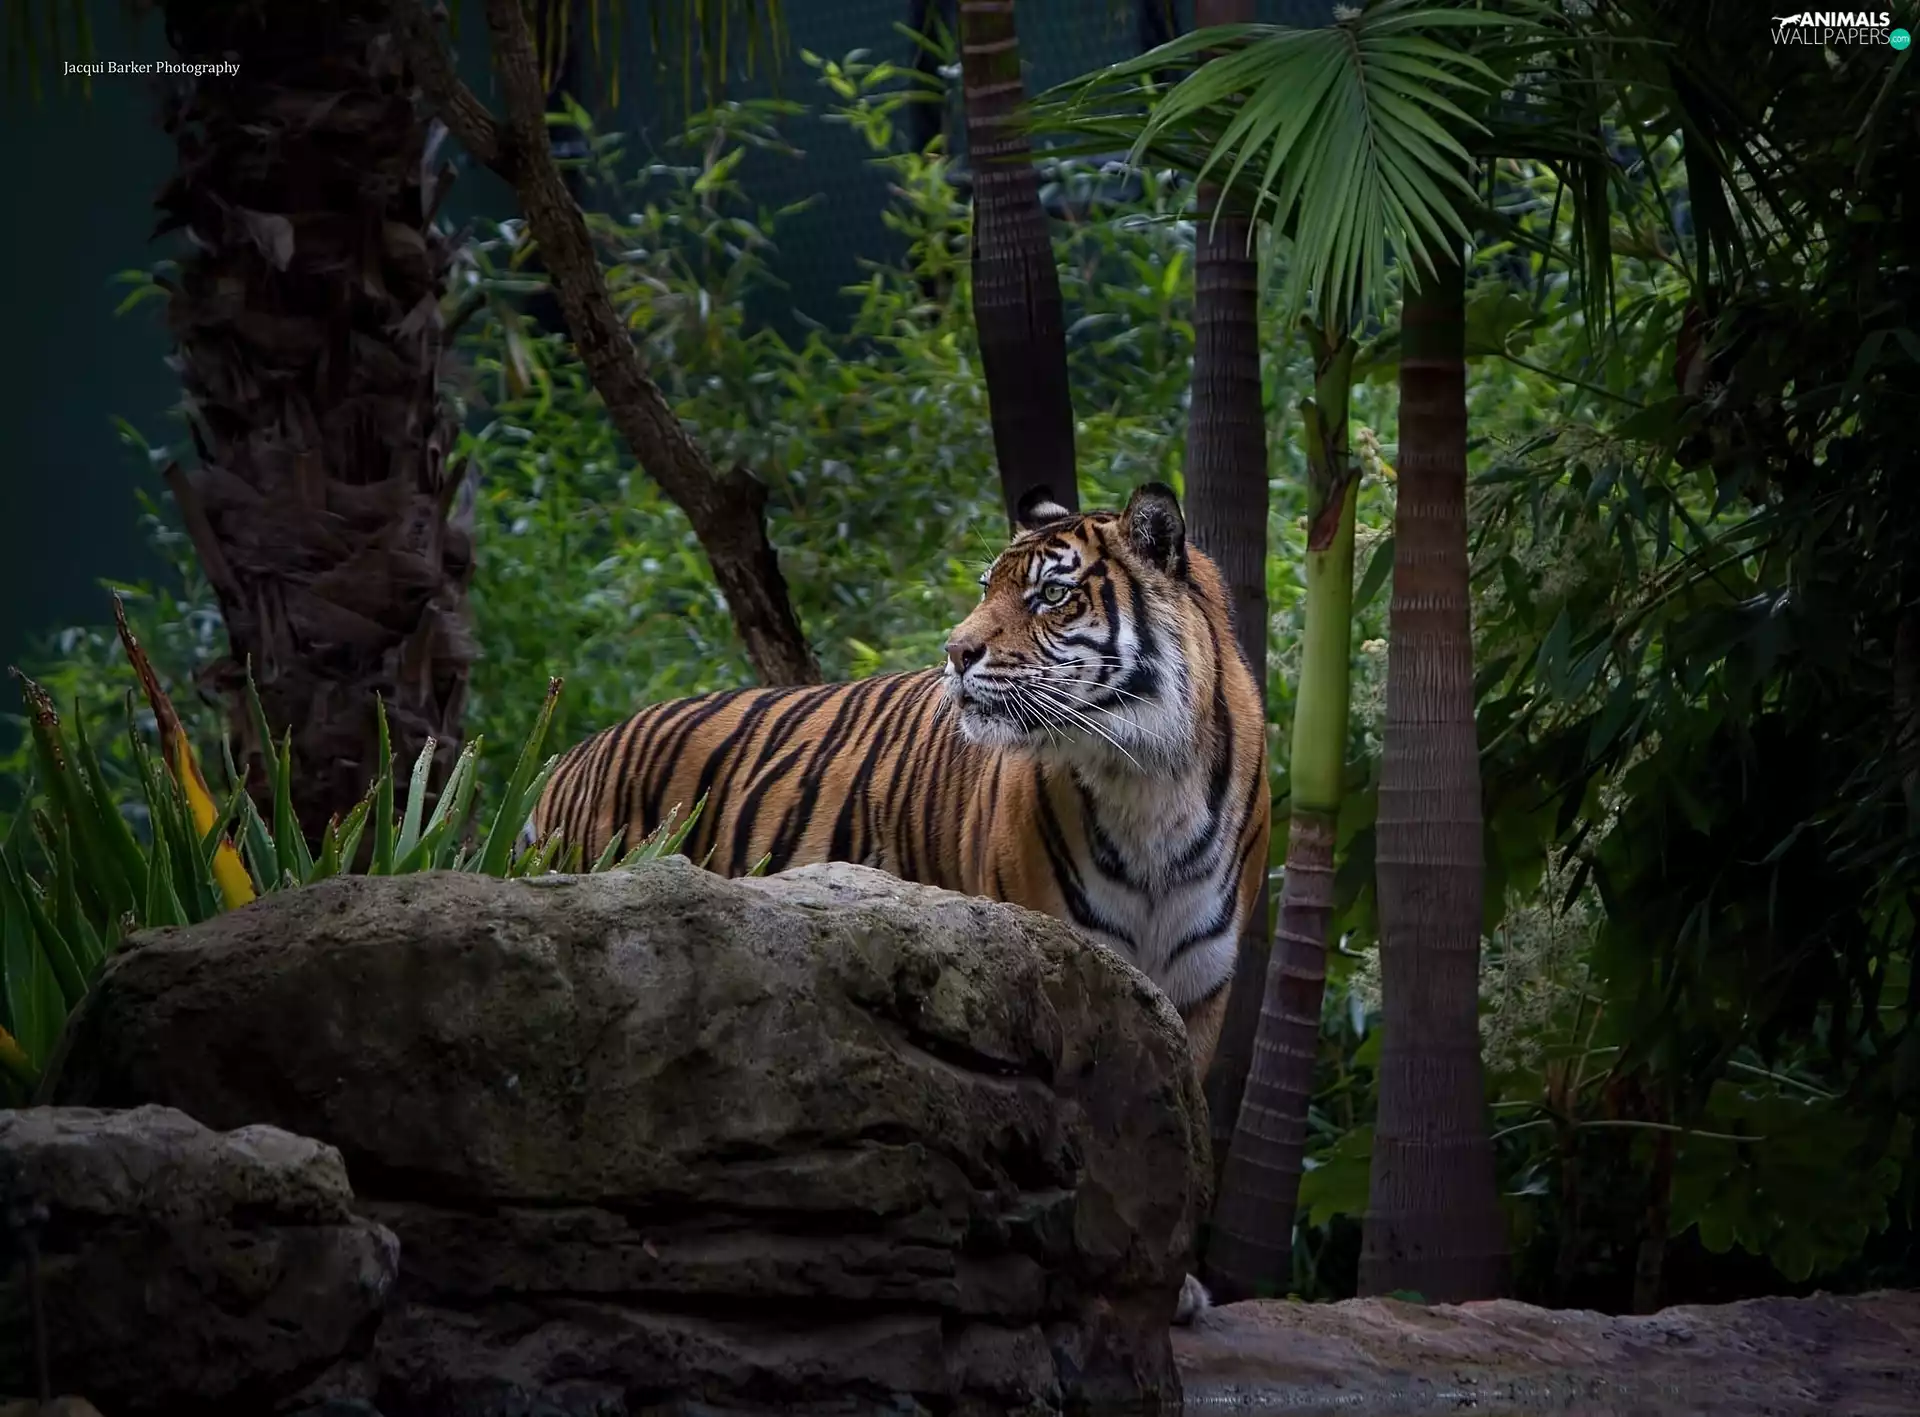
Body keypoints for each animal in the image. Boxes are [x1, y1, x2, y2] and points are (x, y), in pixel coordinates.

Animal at [529, 481, 1271, 1322]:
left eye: (1051, 595)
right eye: (987, 586)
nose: (955, 652)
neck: (1148, 780)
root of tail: (570, 756)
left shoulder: (1198, 986)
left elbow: (1178, 1134)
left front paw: (1168, 1282)